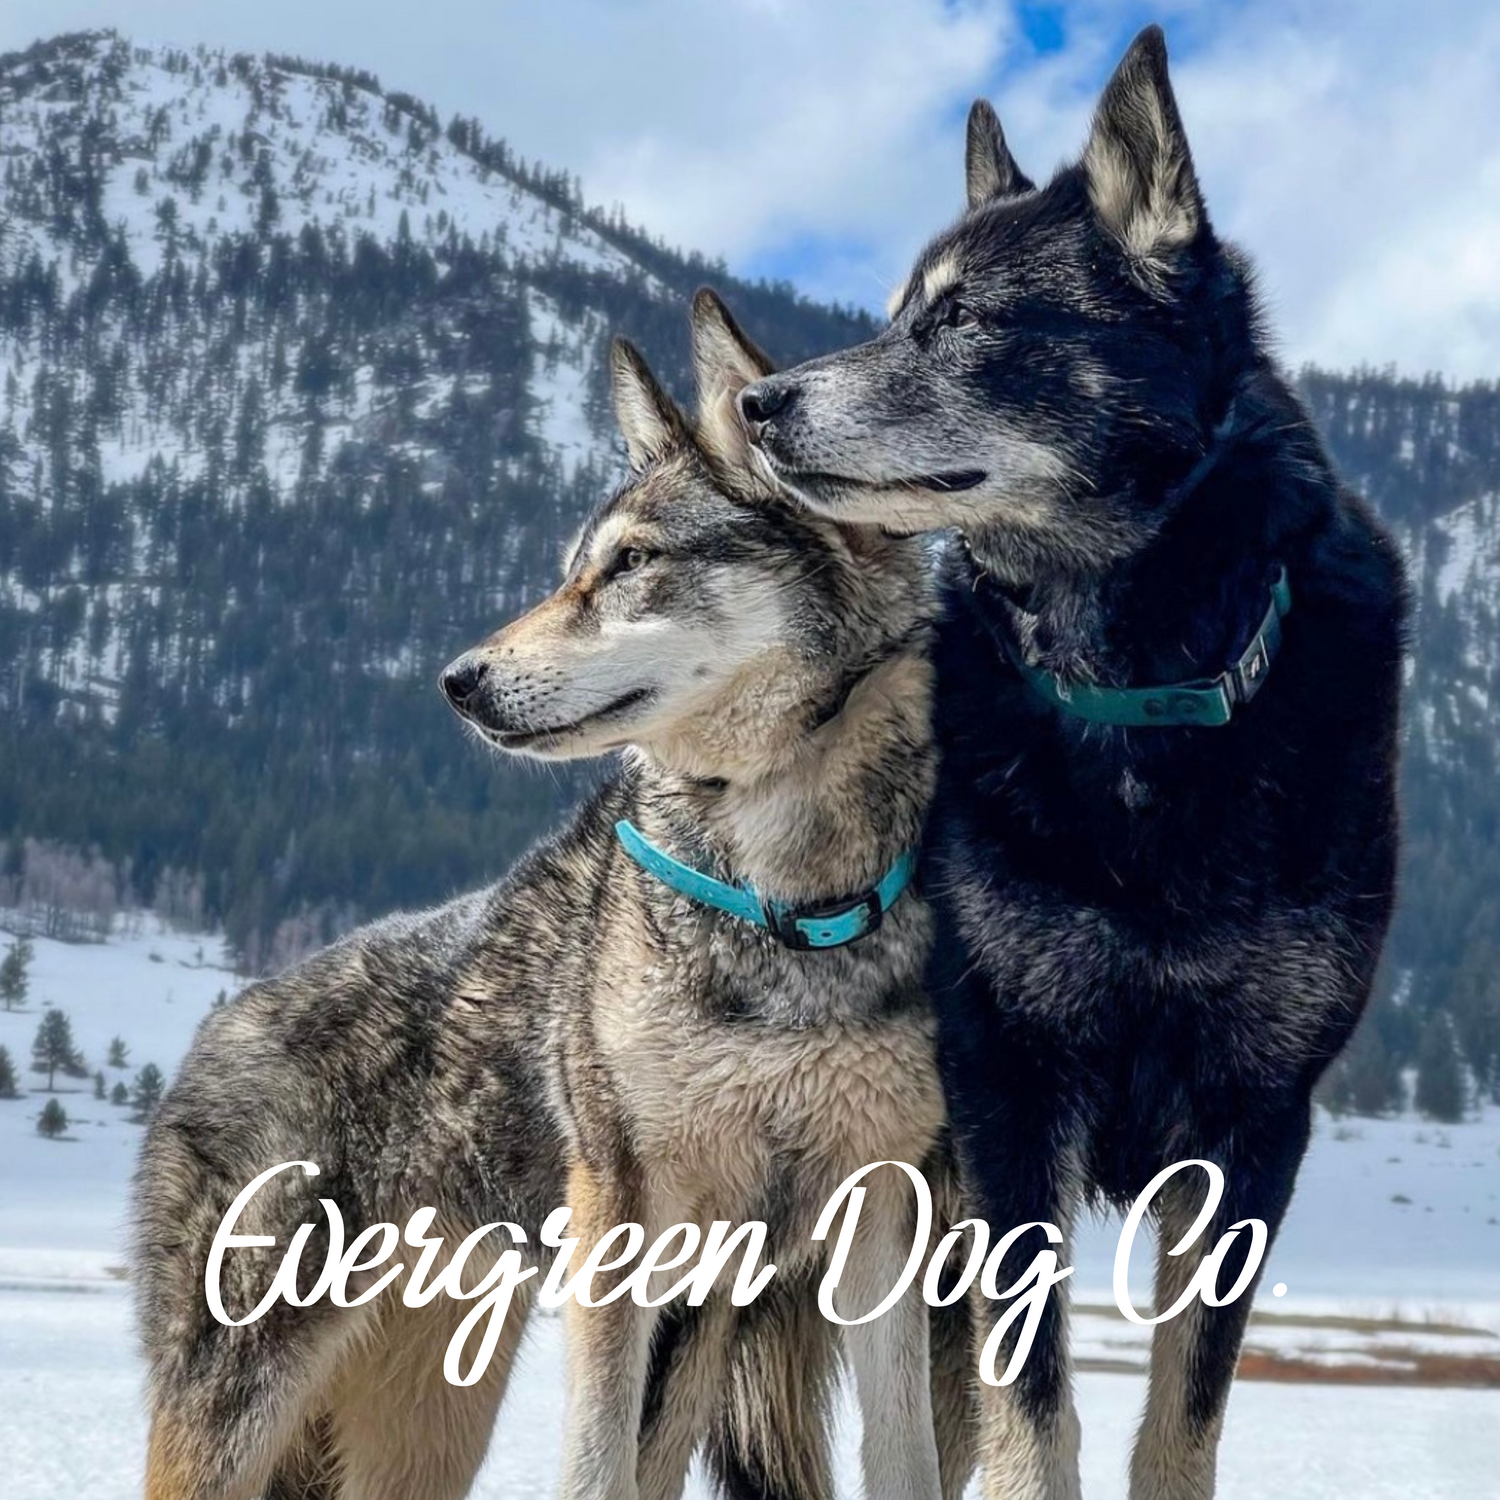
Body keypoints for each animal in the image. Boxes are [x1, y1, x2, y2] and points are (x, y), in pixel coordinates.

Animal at [738, 26, 1404, 1500]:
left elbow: (1183, 1413)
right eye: (895, 312)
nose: (758, 401)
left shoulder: (1255, 1117)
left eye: (963, 320)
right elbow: (1033, 1404)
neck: (1135, 704)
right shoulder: (1008, 1088)